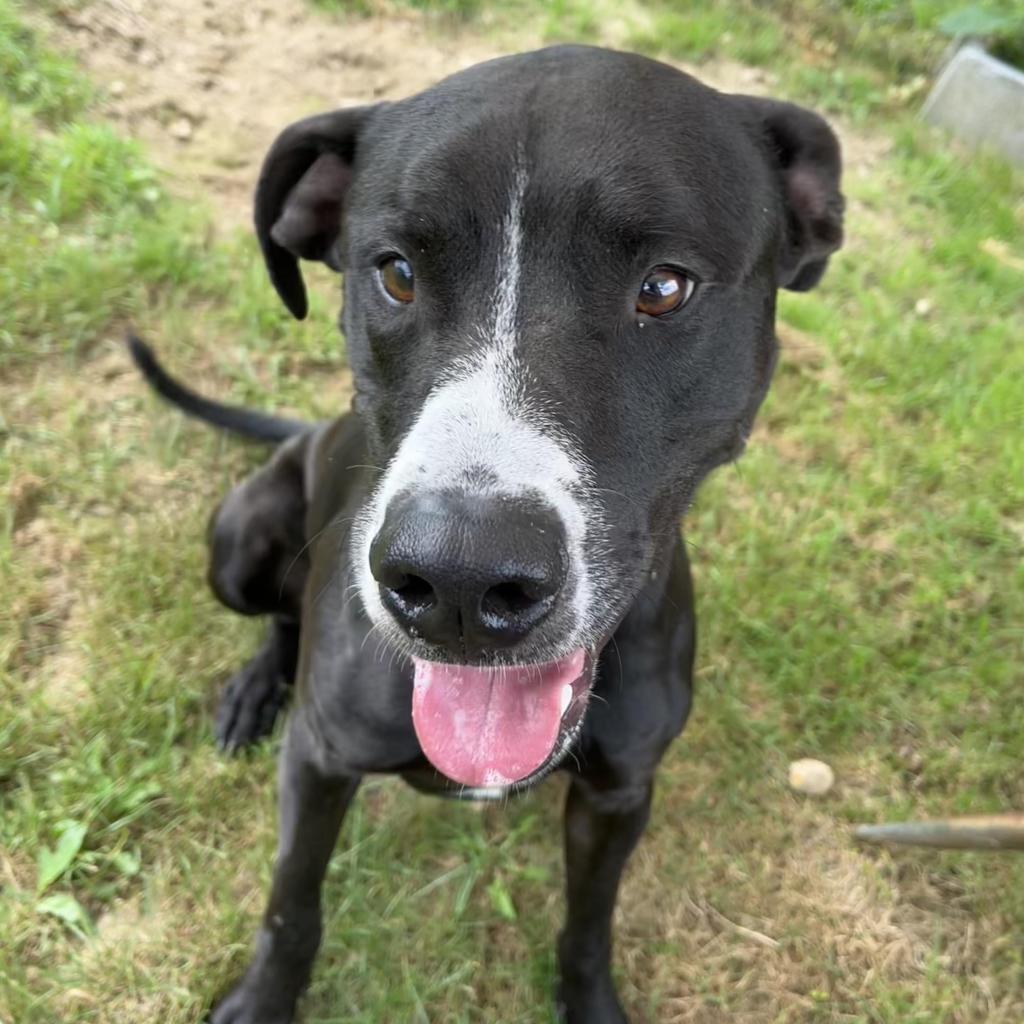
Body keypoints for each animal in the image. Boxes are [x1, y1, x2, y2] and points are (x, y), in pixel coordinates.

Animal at [134, 46, 839, 1024]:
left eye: (664, 287)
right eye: (395, 272)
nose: (458, 583)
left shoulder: (619, 795)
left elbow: (588, 924)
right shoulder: (319, 760)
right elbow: (292, 904)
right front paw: (265, 998)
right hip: (237, 544)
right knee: (276, 612)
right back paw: (253, 688)